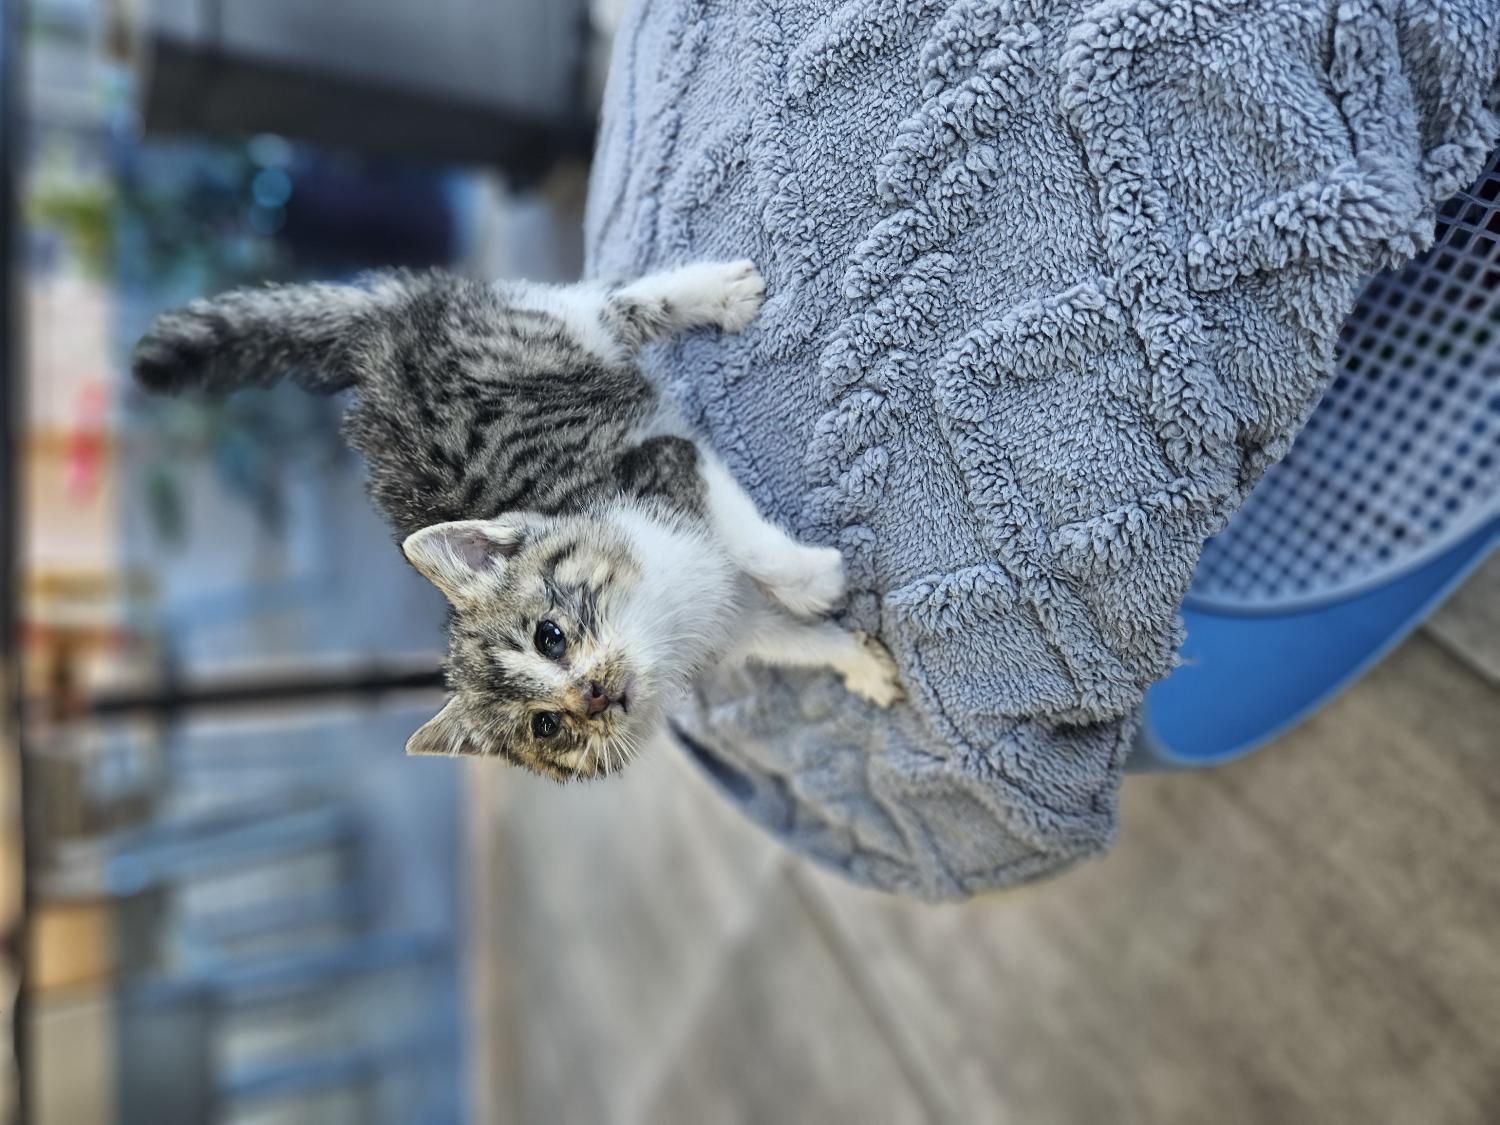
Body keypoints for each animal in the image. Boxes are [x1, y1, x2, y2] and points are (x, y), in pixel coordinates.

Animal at [132, 259, 900, 780]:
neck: (666, 624)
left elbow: (753, 547)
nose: (592, 695)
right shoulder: (731, 626)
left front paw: (815, 580)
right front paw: (861, 665)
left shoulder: (664, 462)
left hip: (542, 337)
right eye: (548, 725)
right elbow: (789, 642)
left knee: (613, 304)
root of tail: (378, 340)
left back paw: (715, 293)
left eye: (550, 635)